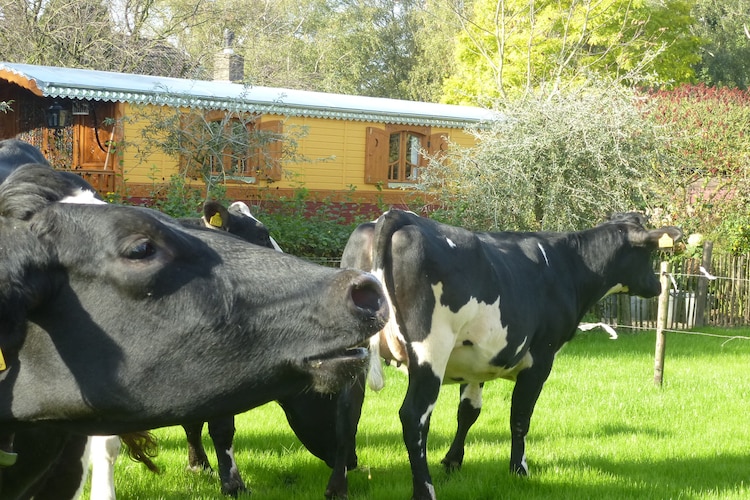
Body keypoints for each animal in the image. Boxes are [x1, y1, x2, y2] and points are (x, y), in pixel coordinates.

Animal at [0, 163, 388, 496]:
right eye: (141, 248)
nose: (353, 462)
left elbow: (192, 422)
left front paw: (198, 464)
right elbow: (219, 428)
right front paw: (231, 481)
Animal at [328, 210, 680, 500]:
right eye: (649, 253)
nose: (659, 287)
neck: (569, 265)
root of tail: (396, 215)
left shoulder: (475, 360)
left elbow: (468, 412)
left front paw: (453, 462)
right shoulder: (540, 359)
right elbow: (520, 417)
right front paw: (519, 470)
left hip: (354, 352)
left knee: (346, 409)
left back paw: (338, 487)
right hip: (430, 351)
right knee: (414, 416)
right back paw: (424, 491)